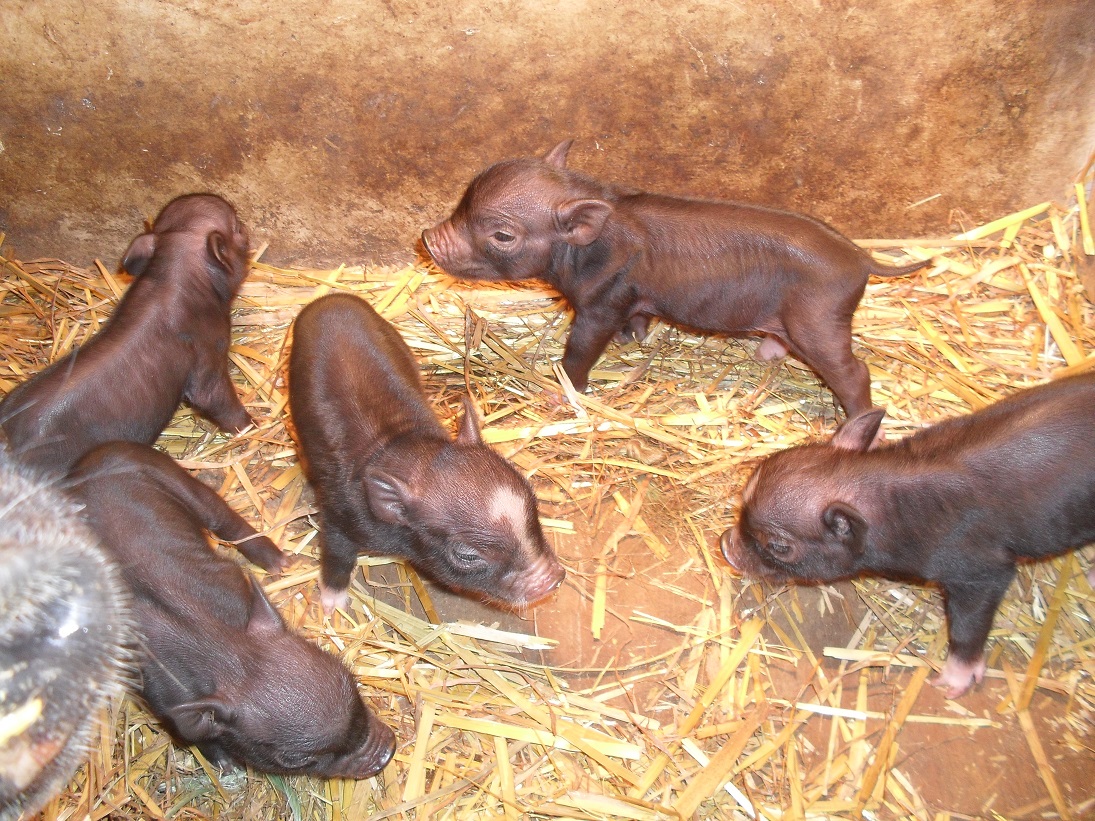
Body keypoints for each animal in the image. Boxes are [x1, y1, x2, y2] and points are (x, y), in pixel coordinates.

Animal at [0, 194, 255, 478]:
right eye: (237, 228)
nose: (246, 227)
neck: (174, 273)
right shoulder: (207, 348)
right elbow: (212, 395)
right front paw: (251, 425)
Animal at [66, 442, 395, 779]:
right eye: (296, 759)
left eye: (354, 683)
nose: (385, 753)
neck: (222, 649)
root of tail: (83, 468)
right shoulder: (160, 694)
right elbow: (189, 734)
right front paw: (227, 766)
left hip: (165, 471)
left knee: (220, 517)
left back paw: (281, 564)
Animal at [288, 292, 565, 615]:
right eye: (467, 555)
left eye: (534, 501)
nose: (554, 579)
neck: (402, 443)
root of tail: (331, 297)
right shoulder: (338, 514)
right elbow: (336, 558)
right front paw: (332, 609)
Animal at [422, 140, 931, 419]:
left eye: (502, 235)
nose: (427, 239)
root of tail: (859, 256)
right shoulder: (633, 297)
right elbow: (637, 322)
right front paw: (632, 341)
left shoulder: (603, 298)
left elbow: (582, 348)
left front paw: (559, 393)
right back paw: (765, 353)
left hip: (820, 319)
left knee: (854, 371)